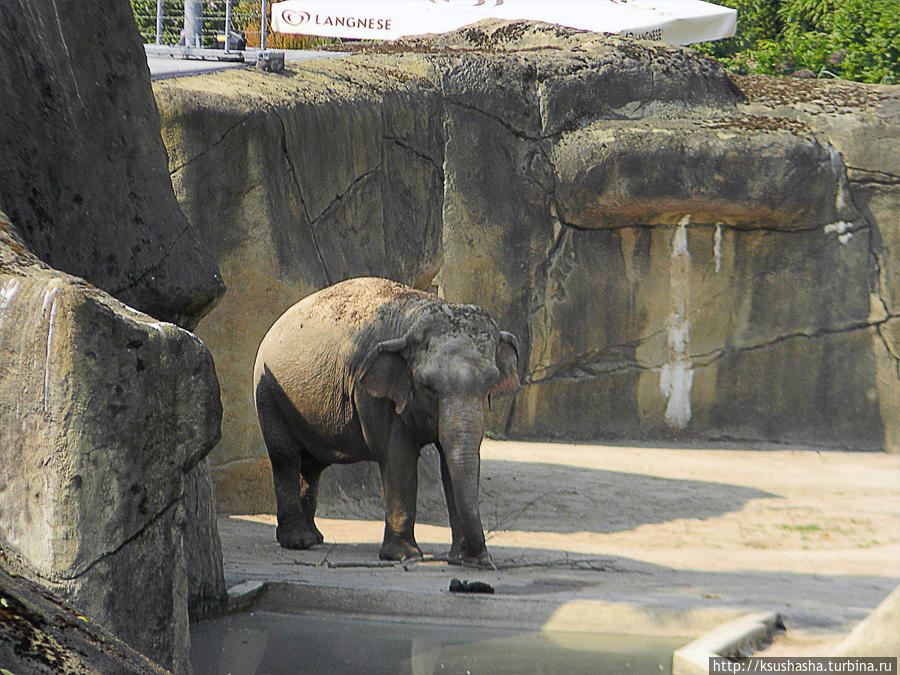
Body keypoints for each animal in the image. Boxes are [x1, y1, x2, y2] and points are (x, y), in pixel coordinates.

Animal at [253, 274, 520, 564]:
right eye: (428, 386)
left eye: (490, 384)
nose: (481, 558)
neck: (416, 315)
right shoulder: (371, 392)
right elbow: (398, 456)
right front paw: (403, 556)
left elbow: (451, 462)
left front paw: (462, 559)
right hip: (268, 393)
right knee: (286, 457)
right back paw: (298, 541)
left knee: (312, 465)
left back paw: (314, 538)